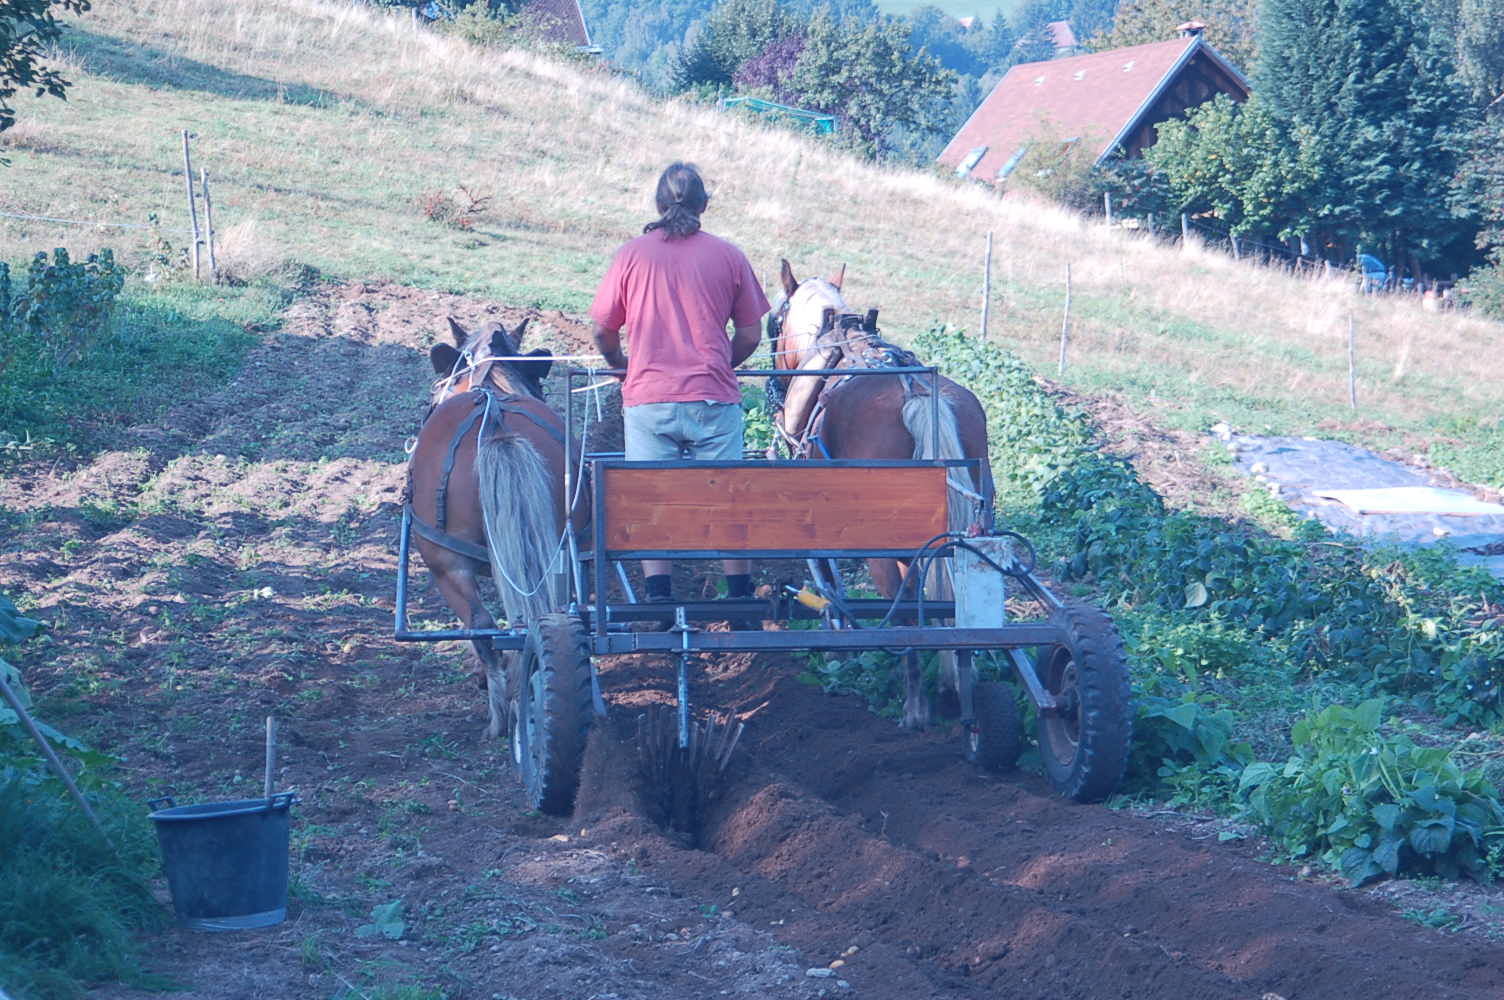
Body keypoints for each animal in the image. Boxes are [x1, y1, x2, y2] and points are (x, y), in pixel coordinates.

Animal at [770, 257, 992, 724]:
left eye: (774, 320)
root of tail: (917, 395)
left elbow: (829, 583)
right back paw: (956, 689)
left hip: (883, 551)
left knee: (904, 609)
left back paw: (915, 709)